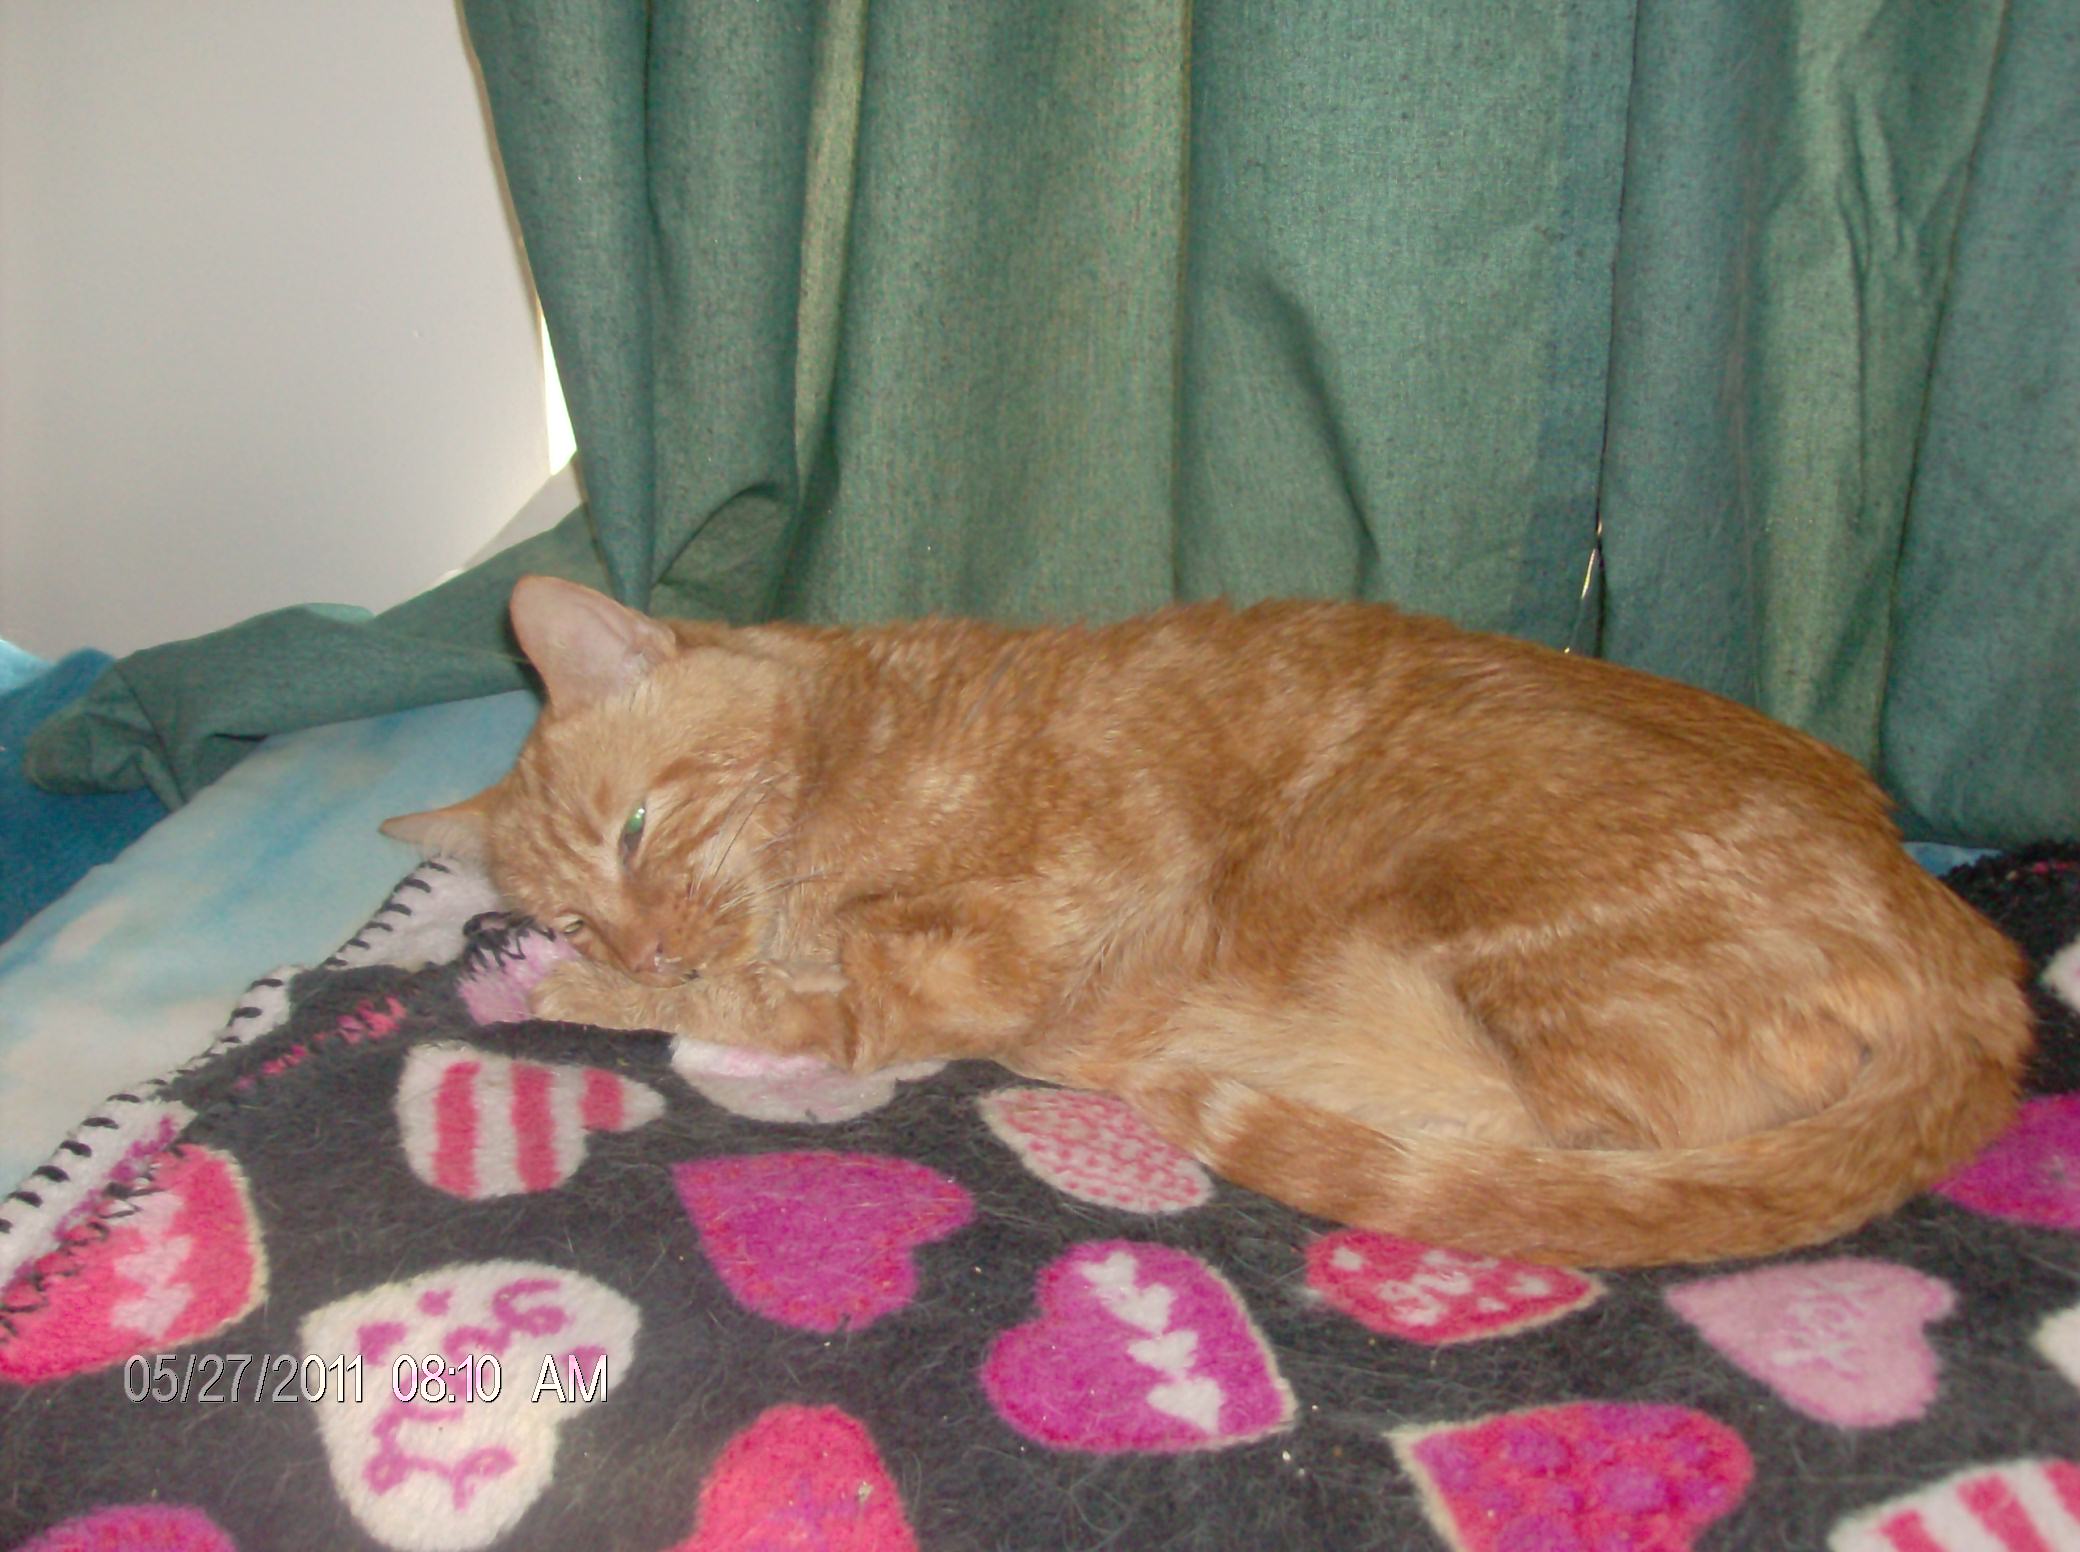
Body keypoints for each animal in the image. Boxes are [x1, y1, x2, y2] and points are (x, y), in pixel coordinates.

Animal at [384, 575, 2031, 1267]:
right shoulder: (890, 985)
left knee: (1551, 1141)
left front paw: (550, 993)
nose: (639, 943)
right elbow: (757, 999)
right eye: (584, 897)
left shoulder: (965, 964)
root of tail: (1970, 952)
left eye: (637, 833)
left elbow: (767, 996)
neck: (851, 743)